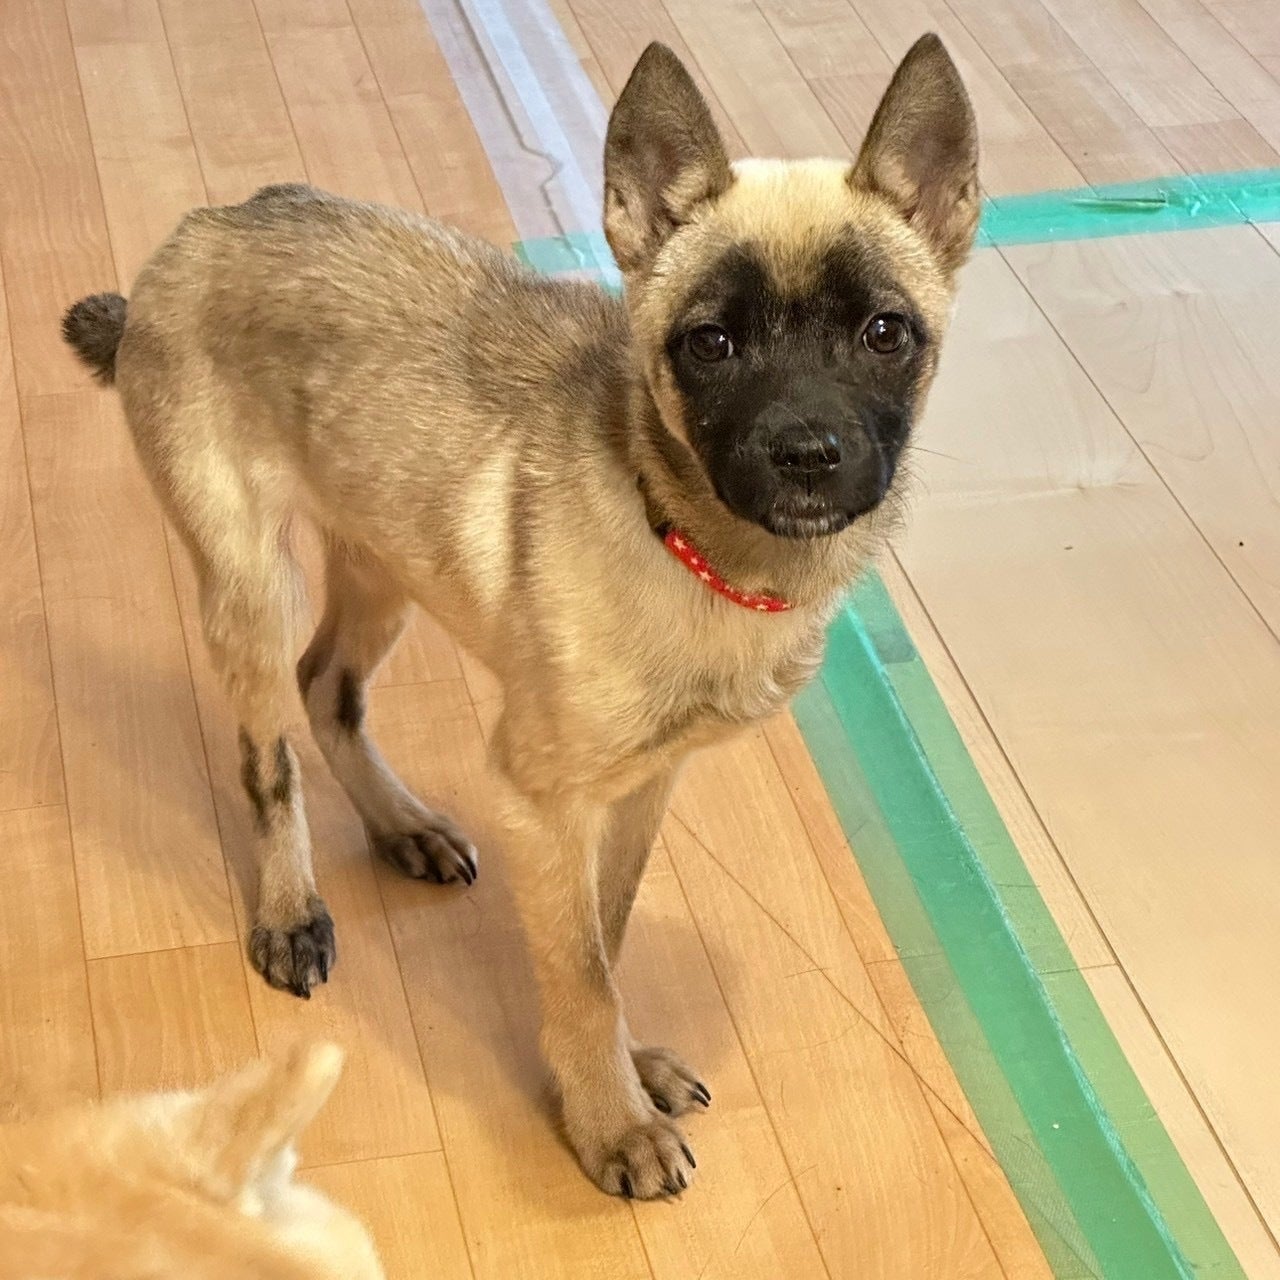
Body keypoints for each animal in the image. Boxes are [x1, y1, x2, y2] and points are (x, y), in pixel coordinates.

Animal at [60, 35, 978, 1199]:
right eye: (711, 344)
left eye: (883, 333)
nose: (806, 454)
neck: (676, 532)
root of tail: (199, 232)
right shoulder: (547, 800)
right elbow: (579, 970)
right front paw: (609, 1120)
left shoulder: (636, 791)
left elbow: (605, 937)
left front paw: (619, 1069)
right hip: (250, 581)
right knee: (268, 758)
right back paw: (289, 911)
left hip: (383, 562)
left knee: (329, 690)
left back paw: (401, 826)